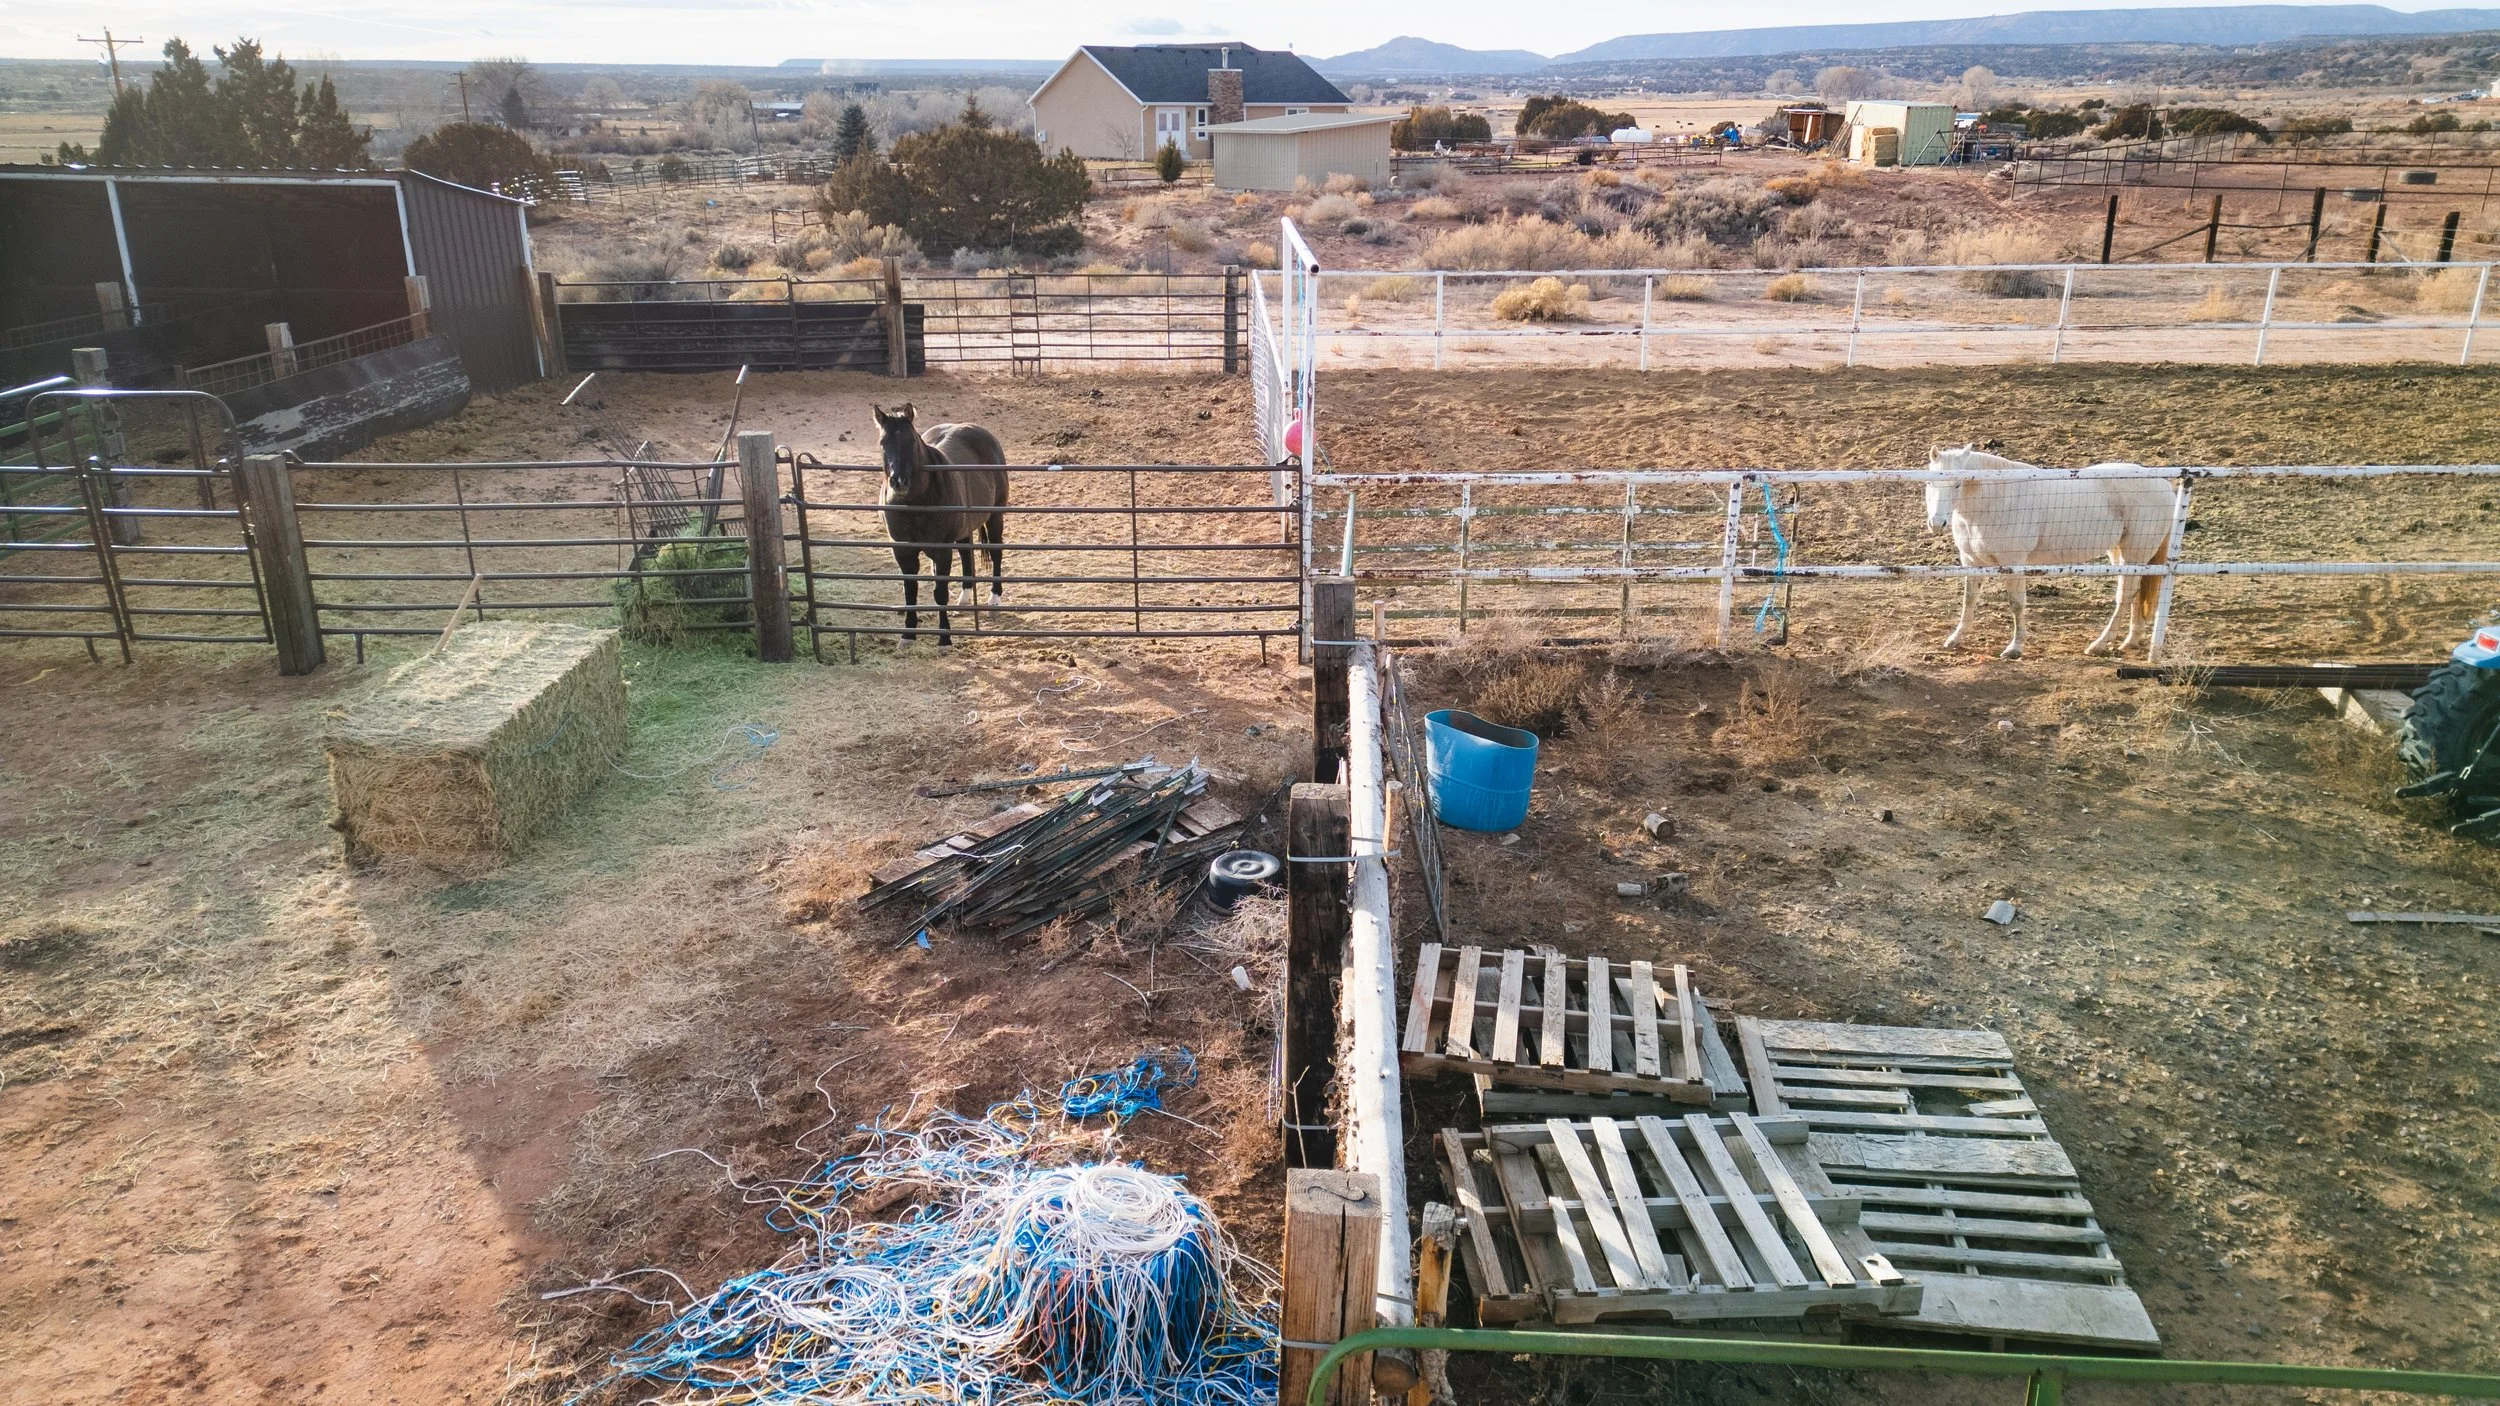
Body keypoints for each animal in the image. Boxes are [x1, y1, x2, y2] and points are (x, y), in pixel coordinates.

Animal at [874, 403, 1008, 647]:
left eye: (912, 441)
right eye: (882, 442)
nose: (899, 482)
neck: (916, 504)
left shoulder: (942, 550)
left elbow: (940, 593)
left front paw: (944, 637)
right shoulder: (902, 550)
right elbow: (910, 592)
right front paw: (907, 635)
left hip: (995, 516)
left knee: (996, 553)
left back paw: (994, 600)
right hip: (965, 529)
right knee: (966, 554)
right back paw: (965, 598)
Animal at [1923, 446, 2177, 659]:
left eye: (1957, 484)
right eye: (1929, 483)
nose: (1937, 523)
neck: (1996, 500)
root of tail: (2164, 485)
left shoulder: (2013, 563)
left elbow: (2016, 604)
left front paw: (2014, 648)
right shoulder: (1971, 561)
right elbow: (1969, 600)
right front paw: (1955, 639)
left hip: (2136, 551)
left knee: (2126, 595)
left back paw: (2099, 645)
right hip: (2122, 555)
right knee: (2135, 593)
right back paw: (2130, 641)